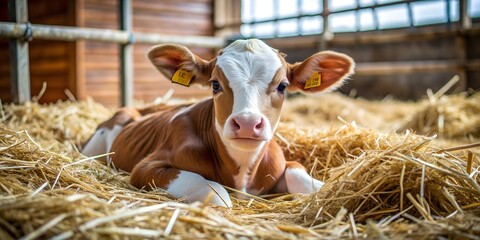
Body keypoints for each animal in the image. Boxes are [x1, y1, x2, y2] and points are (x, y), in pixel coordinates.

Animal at [81, 39, 352, 206]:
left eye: (283, 86)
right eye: (215, 84)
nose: (247, 123)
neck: (242, 173)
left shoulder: (284, 163)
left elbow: (307, 180)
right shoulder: (145, 167)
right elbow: (216, 192)